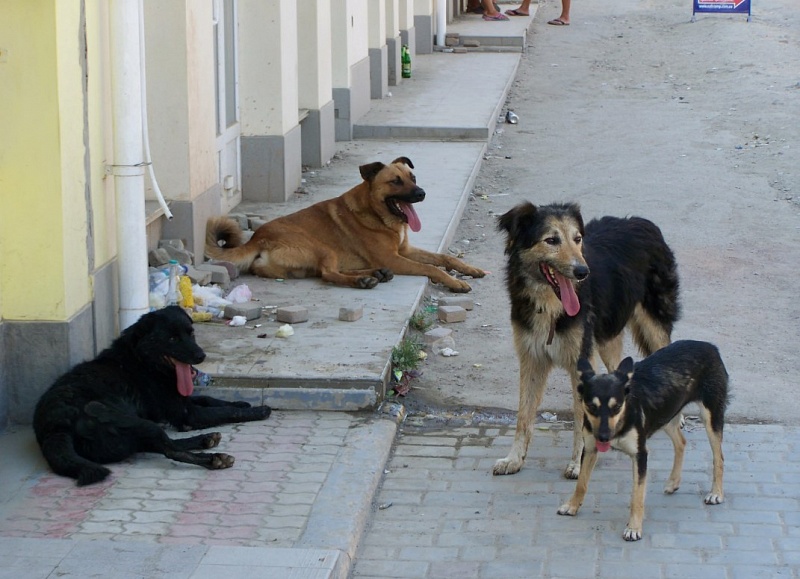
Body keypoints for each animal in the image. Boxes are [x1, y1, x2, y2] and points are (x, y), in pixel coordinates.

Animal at [33, 306, 272, 488]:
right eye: (172, 338)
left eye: (191, 333)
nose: (201, 356)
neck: (143, 361)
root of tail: (55, 427)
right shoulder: (187, 413)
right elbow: (223, 411)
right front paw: (257, 410)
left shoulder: (180, 402)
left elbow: (210, 400)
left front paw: (241, 402)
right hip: (129, 420)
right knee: (170, 450)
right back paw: (214, 458)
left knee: (160, 444)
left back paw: (206, 439)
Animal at [206, 156, 484, 292]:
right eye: (395, 181)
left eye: (412, 177)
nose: (422, 193)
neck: (376, 213)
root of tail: (257, 238)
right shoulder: (395, 258)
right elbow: (433, 268)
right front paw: (455, 282)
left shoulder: (403, 251)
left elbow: (445, 258)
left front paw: (469, 268)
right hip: (322, 247)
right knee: (328, 274)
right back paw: (364, 280)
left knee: (326, 272)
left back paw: (375, 274)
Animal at [494, 203, 680, 480]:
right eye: (551, 240)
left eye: (577, 239)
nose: (583, 272)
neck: (551, 306)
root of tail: (642, 222)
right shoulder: (532, 359)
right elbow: (523, 416)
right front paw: (514, 459)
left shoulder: (581, 361)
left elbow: (581, 417)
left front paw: (578, 463)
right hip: (606, 338)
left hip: (654, 325)